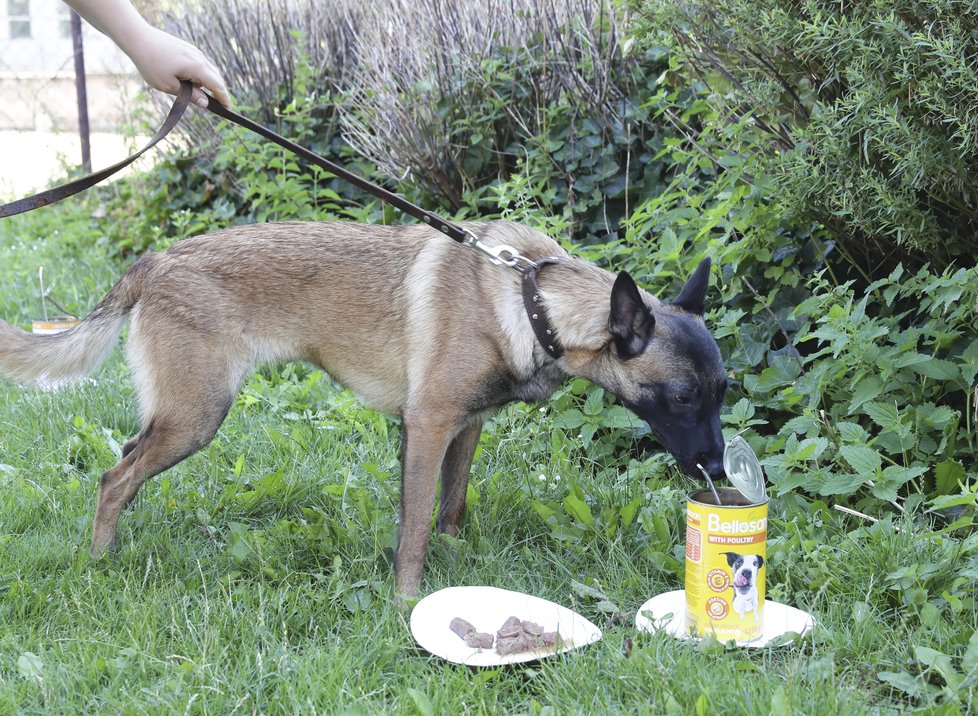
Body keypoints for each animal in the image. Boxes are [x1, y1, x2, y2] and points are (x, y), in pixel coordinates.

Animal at [0, 221, 724, 596]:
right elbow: (414, 531)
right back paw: (99, 562)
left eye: (723, 392)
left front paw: (453, 568)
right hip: (195, 418)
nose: (717, 471)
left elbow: (449, 511)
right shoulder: (426, 427)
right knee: (111, 477)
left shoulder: (464, 430)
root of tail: (154, 261)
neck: (529, 301)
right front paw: (407, 603)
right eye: (684, 397)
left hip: (178, 418)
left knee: (124, 465)